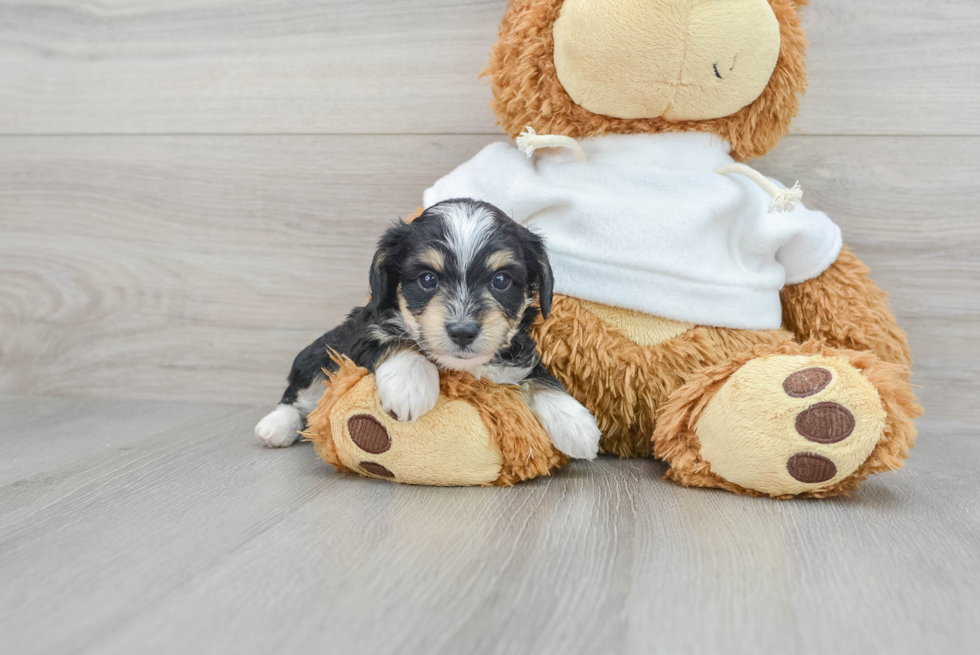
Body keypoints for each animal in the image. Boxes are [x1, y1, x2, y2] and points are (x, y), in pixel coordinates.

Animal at [256, 200, 600, 462]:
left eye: (501, 280)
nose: (463, 331)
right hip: (317, 355)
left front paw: (576, 423)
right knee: (299, 396)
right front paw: (410, 386)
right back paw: (275, 427)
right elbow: (397, 339)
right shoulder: (362, 330)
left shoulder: (519, 350)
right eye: (427, 280)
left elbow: (539, 375)